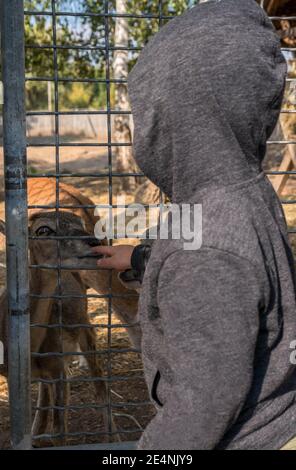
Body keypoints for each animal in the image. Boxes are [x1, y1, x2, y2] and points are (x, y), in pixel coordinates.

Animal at [0, 178, 141, 446]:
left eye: (79, 225)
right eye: (43, 230)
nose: (93, 242)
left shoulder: (58, 369)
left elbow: (60, 429)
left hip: (85, 328)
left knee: (99, 383)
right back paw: (36, 432)